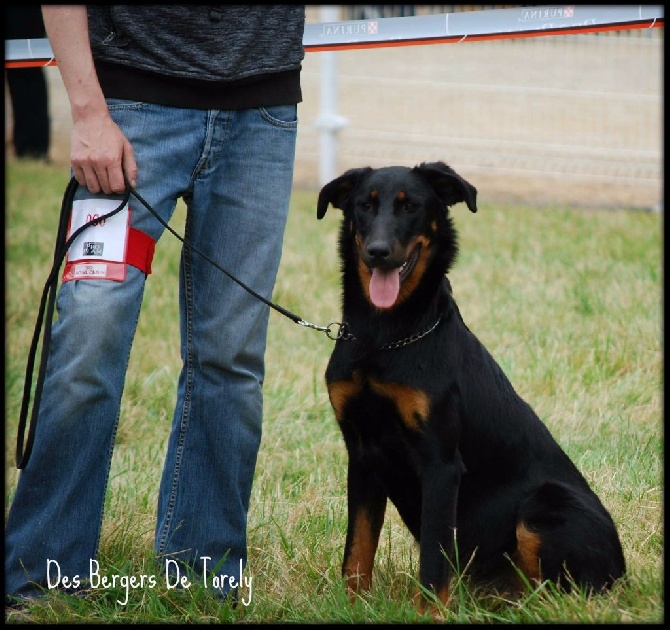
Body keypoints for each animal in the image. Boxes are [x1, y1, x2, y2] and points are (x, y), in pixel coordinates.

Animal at [318, 162, 628, 612]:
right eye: (364, 205)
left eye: (410, 206)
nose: (377, 251)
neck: (384, 336)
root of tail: (623, 571)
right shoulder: (362, 454)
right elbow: (356, 550)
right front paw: (351, 607)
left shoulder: (441, 463)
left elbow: (433, 559)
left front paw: (429, 614)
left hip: (543, 506)